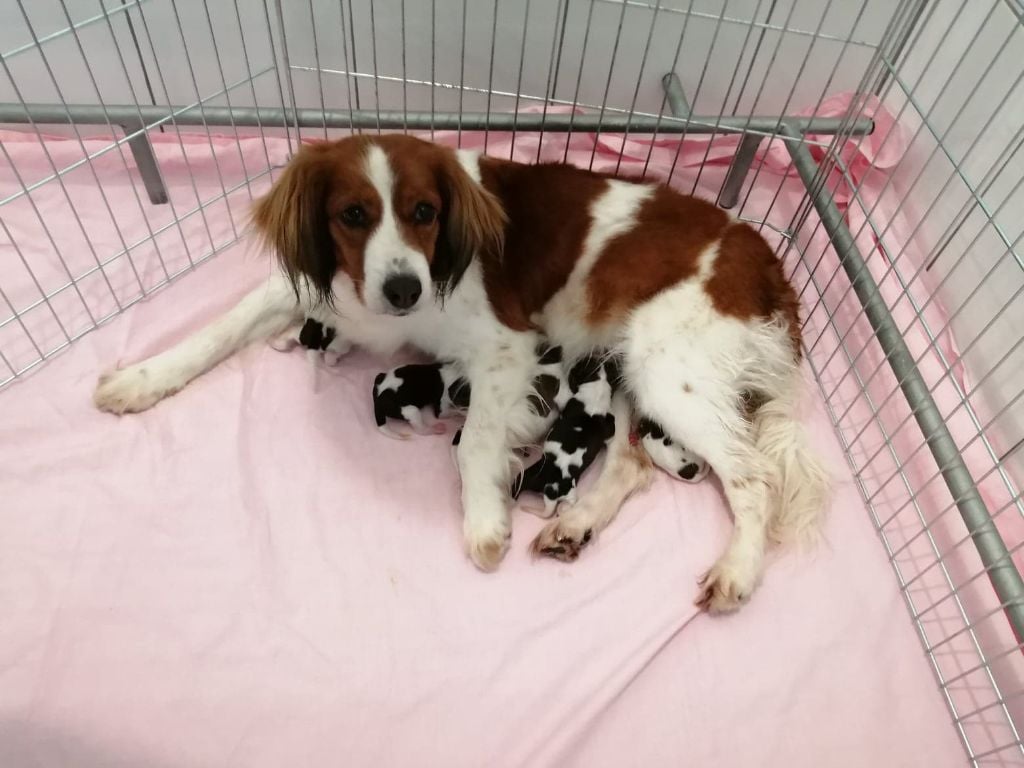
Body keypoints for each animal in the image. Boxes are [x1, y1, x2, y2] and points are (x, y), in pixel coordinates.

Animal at [94, 134, 831, 614]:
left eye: (425, 212)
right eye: (352, 215)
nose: (402, 289)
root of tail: (769, 261)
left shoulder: (507, 346)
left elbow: (475, 439)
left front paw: (483, 520)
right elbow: (219, 327)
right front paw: (142, 377)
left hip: (669, 372)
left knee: (753, 476)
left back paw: (737, 569)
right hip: (626, 368)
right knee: (633, 462)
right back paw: (575, 525)